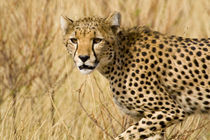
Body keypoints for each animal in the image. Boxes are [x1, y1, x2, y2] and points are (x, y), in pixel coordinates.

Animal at [60, 12, 209, 140]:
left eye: (97, 40)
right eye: (74, 40)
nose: (83, 58)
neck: (116, 59)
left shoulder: (171, 110)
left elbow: (125, 136)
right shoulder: (152, 119)